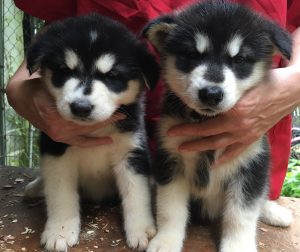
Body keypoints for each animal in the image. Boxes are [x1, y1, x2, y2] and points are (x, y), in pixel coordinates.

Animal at [25, 14, 159, 252]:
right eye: (64, 71)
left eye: (112, 75)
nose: (81, 107)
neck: (95, 130)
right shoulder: (56, 149)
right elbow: (60, 194)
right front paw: (60, 231)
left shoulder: (132, 152)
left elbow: (137, 194)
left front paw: (142, 229)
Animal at [143, 1, 292, 252]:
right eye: (192, 55)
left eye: (239, 60)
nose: (211, 93)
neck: (208, 121)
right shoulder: (170, 160)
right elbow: (170, 209)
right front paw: (166, 240)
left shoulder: (251, 164)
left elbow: (241, 215)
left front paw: (238, 246)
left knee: (261, 196)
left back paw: (274, 212)